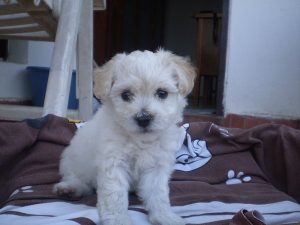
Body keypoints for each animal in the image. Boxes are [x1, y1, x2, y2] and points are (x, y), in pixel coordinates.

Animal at [54, 49, 196, 225]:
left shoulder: (157, 166)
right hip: (73, 160)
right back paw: (70, 188)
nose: (143, 118)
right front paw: (118, 219)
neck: (139, 140)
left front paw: (165, 216)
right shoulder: (113, 163)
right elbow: (114, 195)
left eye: (162, 93)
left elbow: (158, 194)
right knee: (77, 178)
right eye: (126, 95)